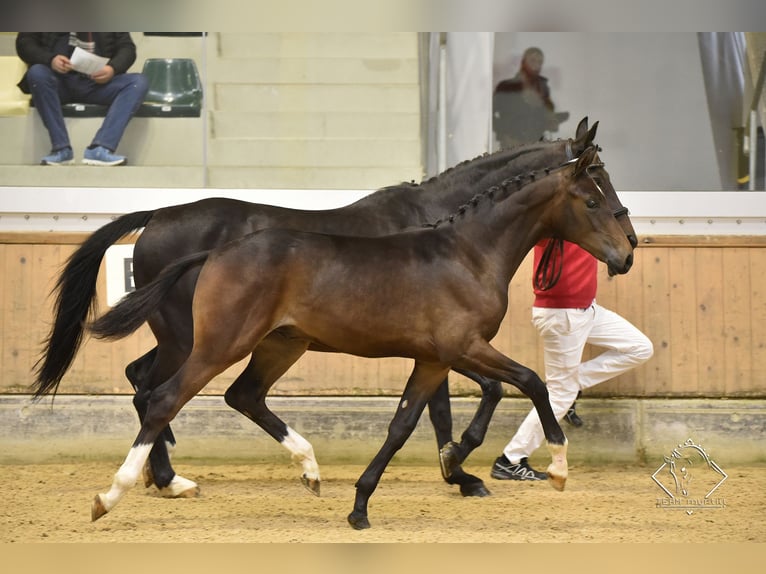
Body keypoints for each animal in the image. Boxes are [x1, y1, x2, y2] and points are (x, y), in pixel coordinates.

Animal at [33, 118, 636, 504]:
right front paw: (460, 467)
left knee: (153, 382)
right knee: (154, 391)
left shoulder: (436, 348)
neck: (452, 232)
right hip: (197, 338)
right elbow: (470, 398)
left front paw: (458, 470)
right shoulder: (450, 343)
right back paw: (164, 479)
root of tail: (159, 215)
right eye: (598, 184)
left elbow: (447, 402)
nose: (628, 249)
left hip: (221, 339)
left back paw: (177, 475)